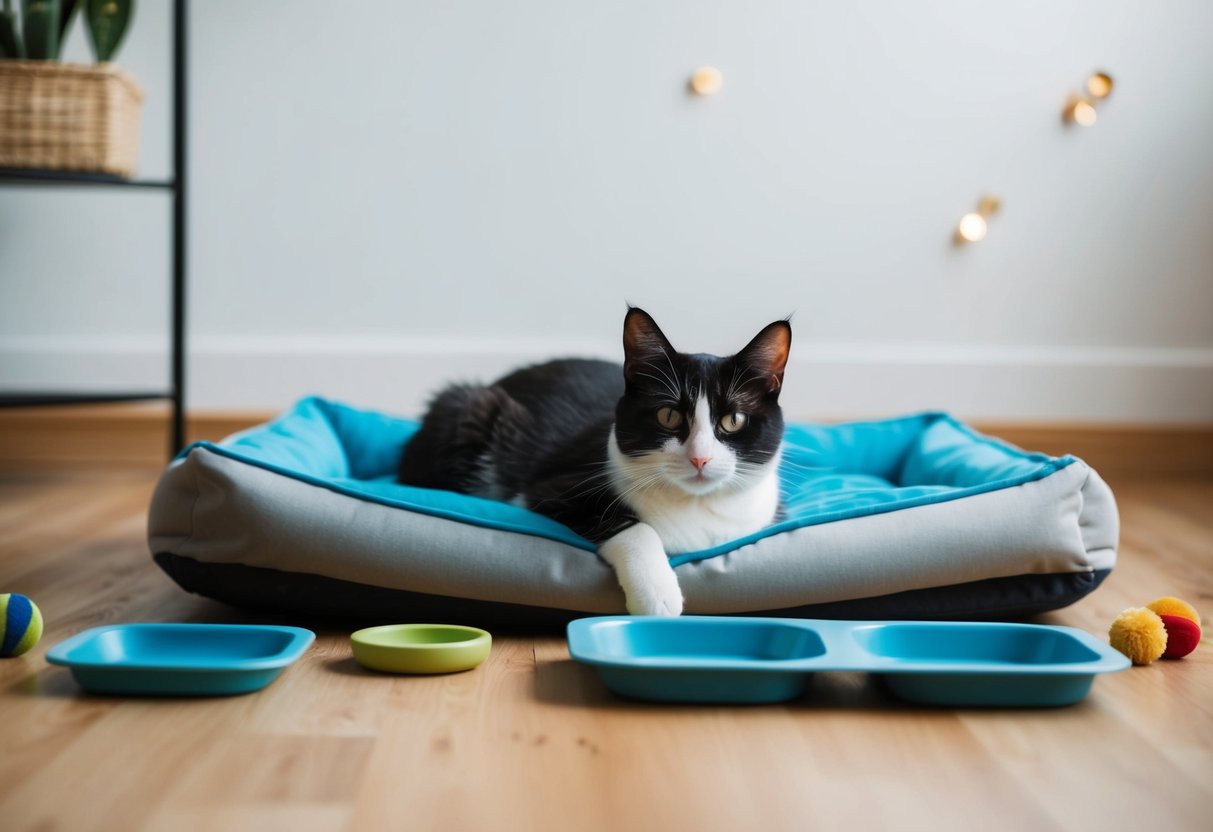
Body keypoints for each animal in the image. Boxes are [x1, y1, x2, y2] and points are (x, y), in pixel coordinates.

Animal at [397, 309, 790, 616]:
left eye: (733, 420)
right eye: (668, 415)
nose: (700, 457)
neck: (695, 506)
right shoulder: (550, 487)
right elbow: (630, 525)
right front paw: (658, 595)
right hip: (468, 410)